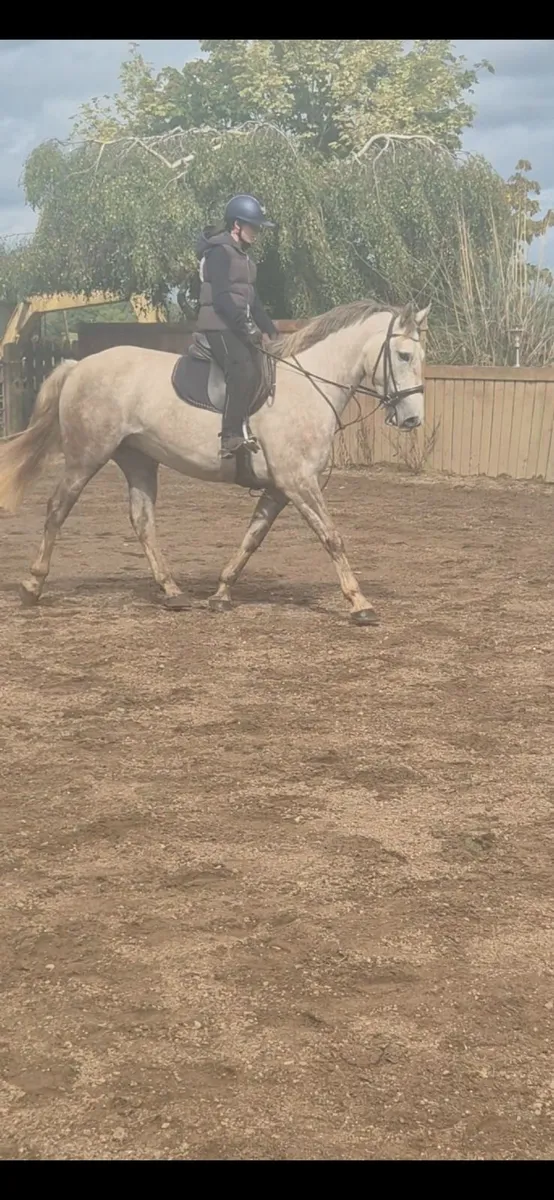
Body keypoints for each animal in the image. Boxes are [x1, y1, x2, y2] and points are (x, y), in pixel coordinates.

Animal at [0, 298, 429, 625]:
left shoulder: (280, 488)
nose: (412, 418)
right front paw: (360, 603)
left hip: (138, 461)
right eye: (404, 354)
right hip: (85, 457)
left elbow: (252, 538)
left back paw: (172, 590)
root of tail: (78, 365)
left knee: (142, 520)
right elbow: (332, 537)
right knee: (57, 509)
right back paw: (32, 585)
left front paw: (221, 593)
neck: (307, 385)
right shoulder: (299, 482)